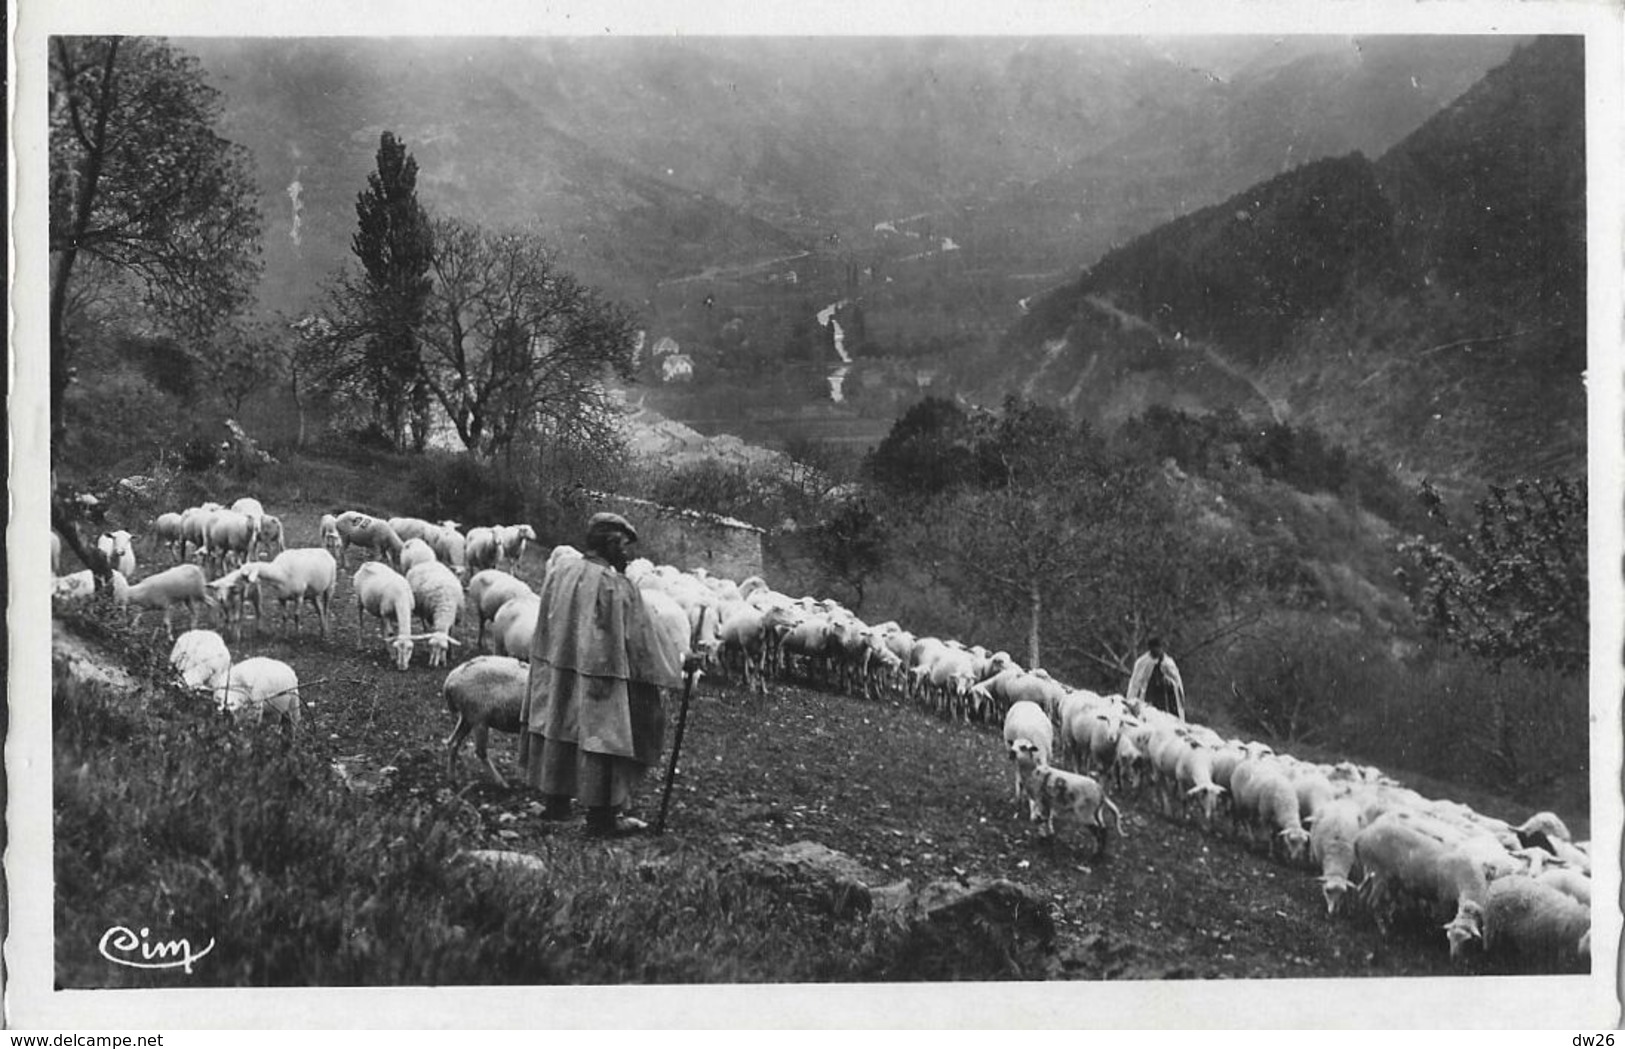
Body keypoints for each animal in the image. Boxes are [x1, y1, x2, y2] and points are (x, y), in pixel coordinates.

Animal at [438, 656, 526, 789]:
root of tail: (450, 682)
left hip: (467, 717)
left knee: (452, 742)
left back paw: (452, 780)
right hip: (479, 718)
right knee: (480, 752)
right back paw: (502, 783)